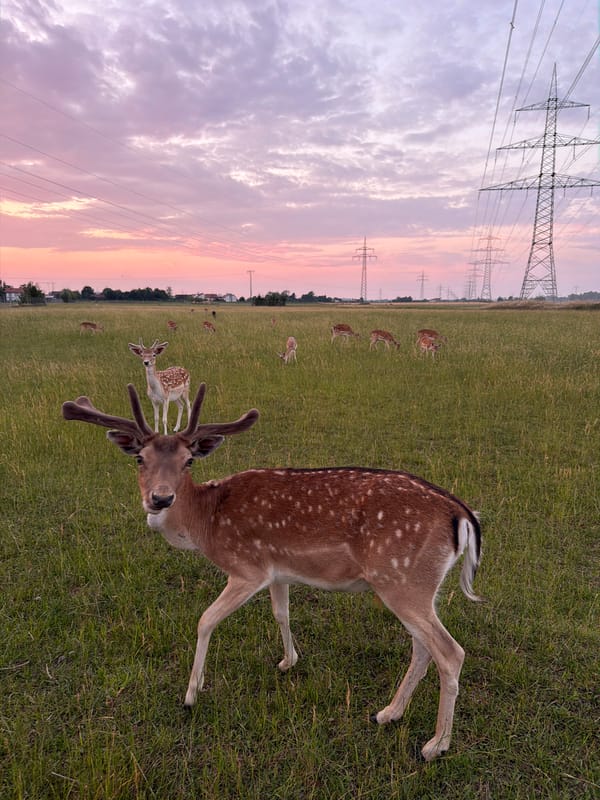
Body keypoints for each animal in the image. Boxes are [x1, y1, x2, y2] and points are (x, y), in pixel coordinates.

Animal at [61, 382, 483, 762]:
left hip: (403, 582)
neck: (205, 523)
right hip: (416, 586)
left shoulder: (247, 568)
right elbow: (281, 612)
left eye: (188, 461)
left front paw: (191, 694)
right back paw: (388, 713)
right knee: (422, 647)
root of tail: (462, 514)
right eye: (140, 459)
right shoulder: (279, 572)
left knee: (450, 652)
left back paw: (435, 745)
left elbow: (205, 620)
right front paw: (288, 660)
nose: (160, 498)